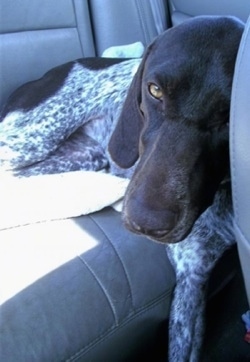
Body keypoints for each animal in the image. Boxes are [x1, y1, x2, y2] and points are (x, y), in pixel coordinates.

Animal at [0, 15, 244, 360]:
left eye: (231, 114)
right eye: (154, 90)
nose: (145, 223)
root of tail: (48, 73)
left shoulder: (193, 279)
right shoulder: (189, 272)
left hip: (80, 157)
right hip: (27, 141)